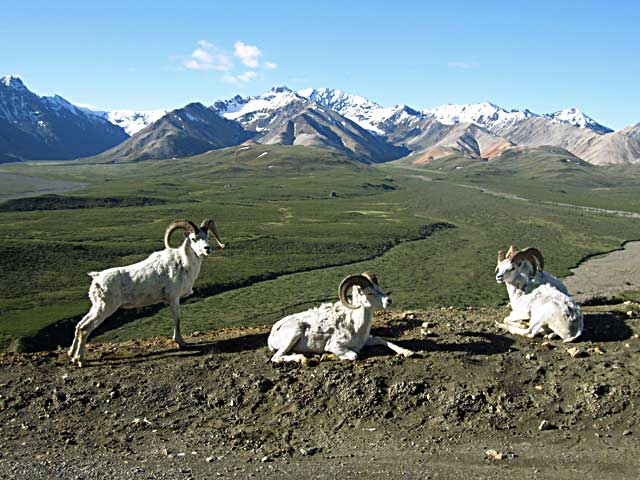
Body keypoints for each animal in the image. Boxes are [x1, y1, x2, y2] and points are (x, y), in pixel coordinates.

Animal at [67, 218, 226, 368]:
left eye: (207, 237)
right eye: (193, 238)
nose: (207, 249)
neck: (183, 265)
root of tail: (96, 278)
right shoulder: (173, 299)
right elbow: (177, 320)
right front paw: (181, 343)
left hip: (96, 307)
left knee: (79, 326)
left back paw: (72, 356)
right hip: (105, 309)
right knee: (85, 329)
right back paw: (81, 361)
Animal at [266, 272, 412, 362]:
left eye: (379, 287)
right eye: (369, 293)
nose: (389, 301)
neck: (357, 328)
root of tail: (272, 333)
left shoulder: (368, 340)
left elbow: (385, 341)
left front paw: (407, 352)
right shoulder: (335, 346)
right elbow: (354, 355)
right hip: (295, 332)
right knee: (276, 357)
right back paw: (302, 359)